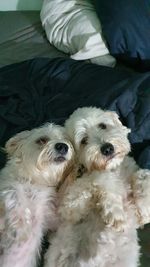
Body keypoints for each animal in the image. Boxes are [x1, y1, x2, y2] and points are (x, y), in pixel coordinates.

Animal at [0, 123, 74, 267]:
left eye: (66, 139)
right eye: (41, 140)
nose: (63, 146)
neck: (35, 181)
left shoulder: (48, 216)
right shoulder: (7, 189)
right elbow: (14, 195)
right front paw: (21, 227)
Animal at [44, 107, 150, 267]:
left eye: (102, 126)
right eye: (83, 141)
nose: (107, 148)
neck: (115, 169)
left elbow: (144, 176)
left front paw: (144, 211)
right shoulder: (69, 208)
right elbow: (101, 177)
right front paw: (115, 212)